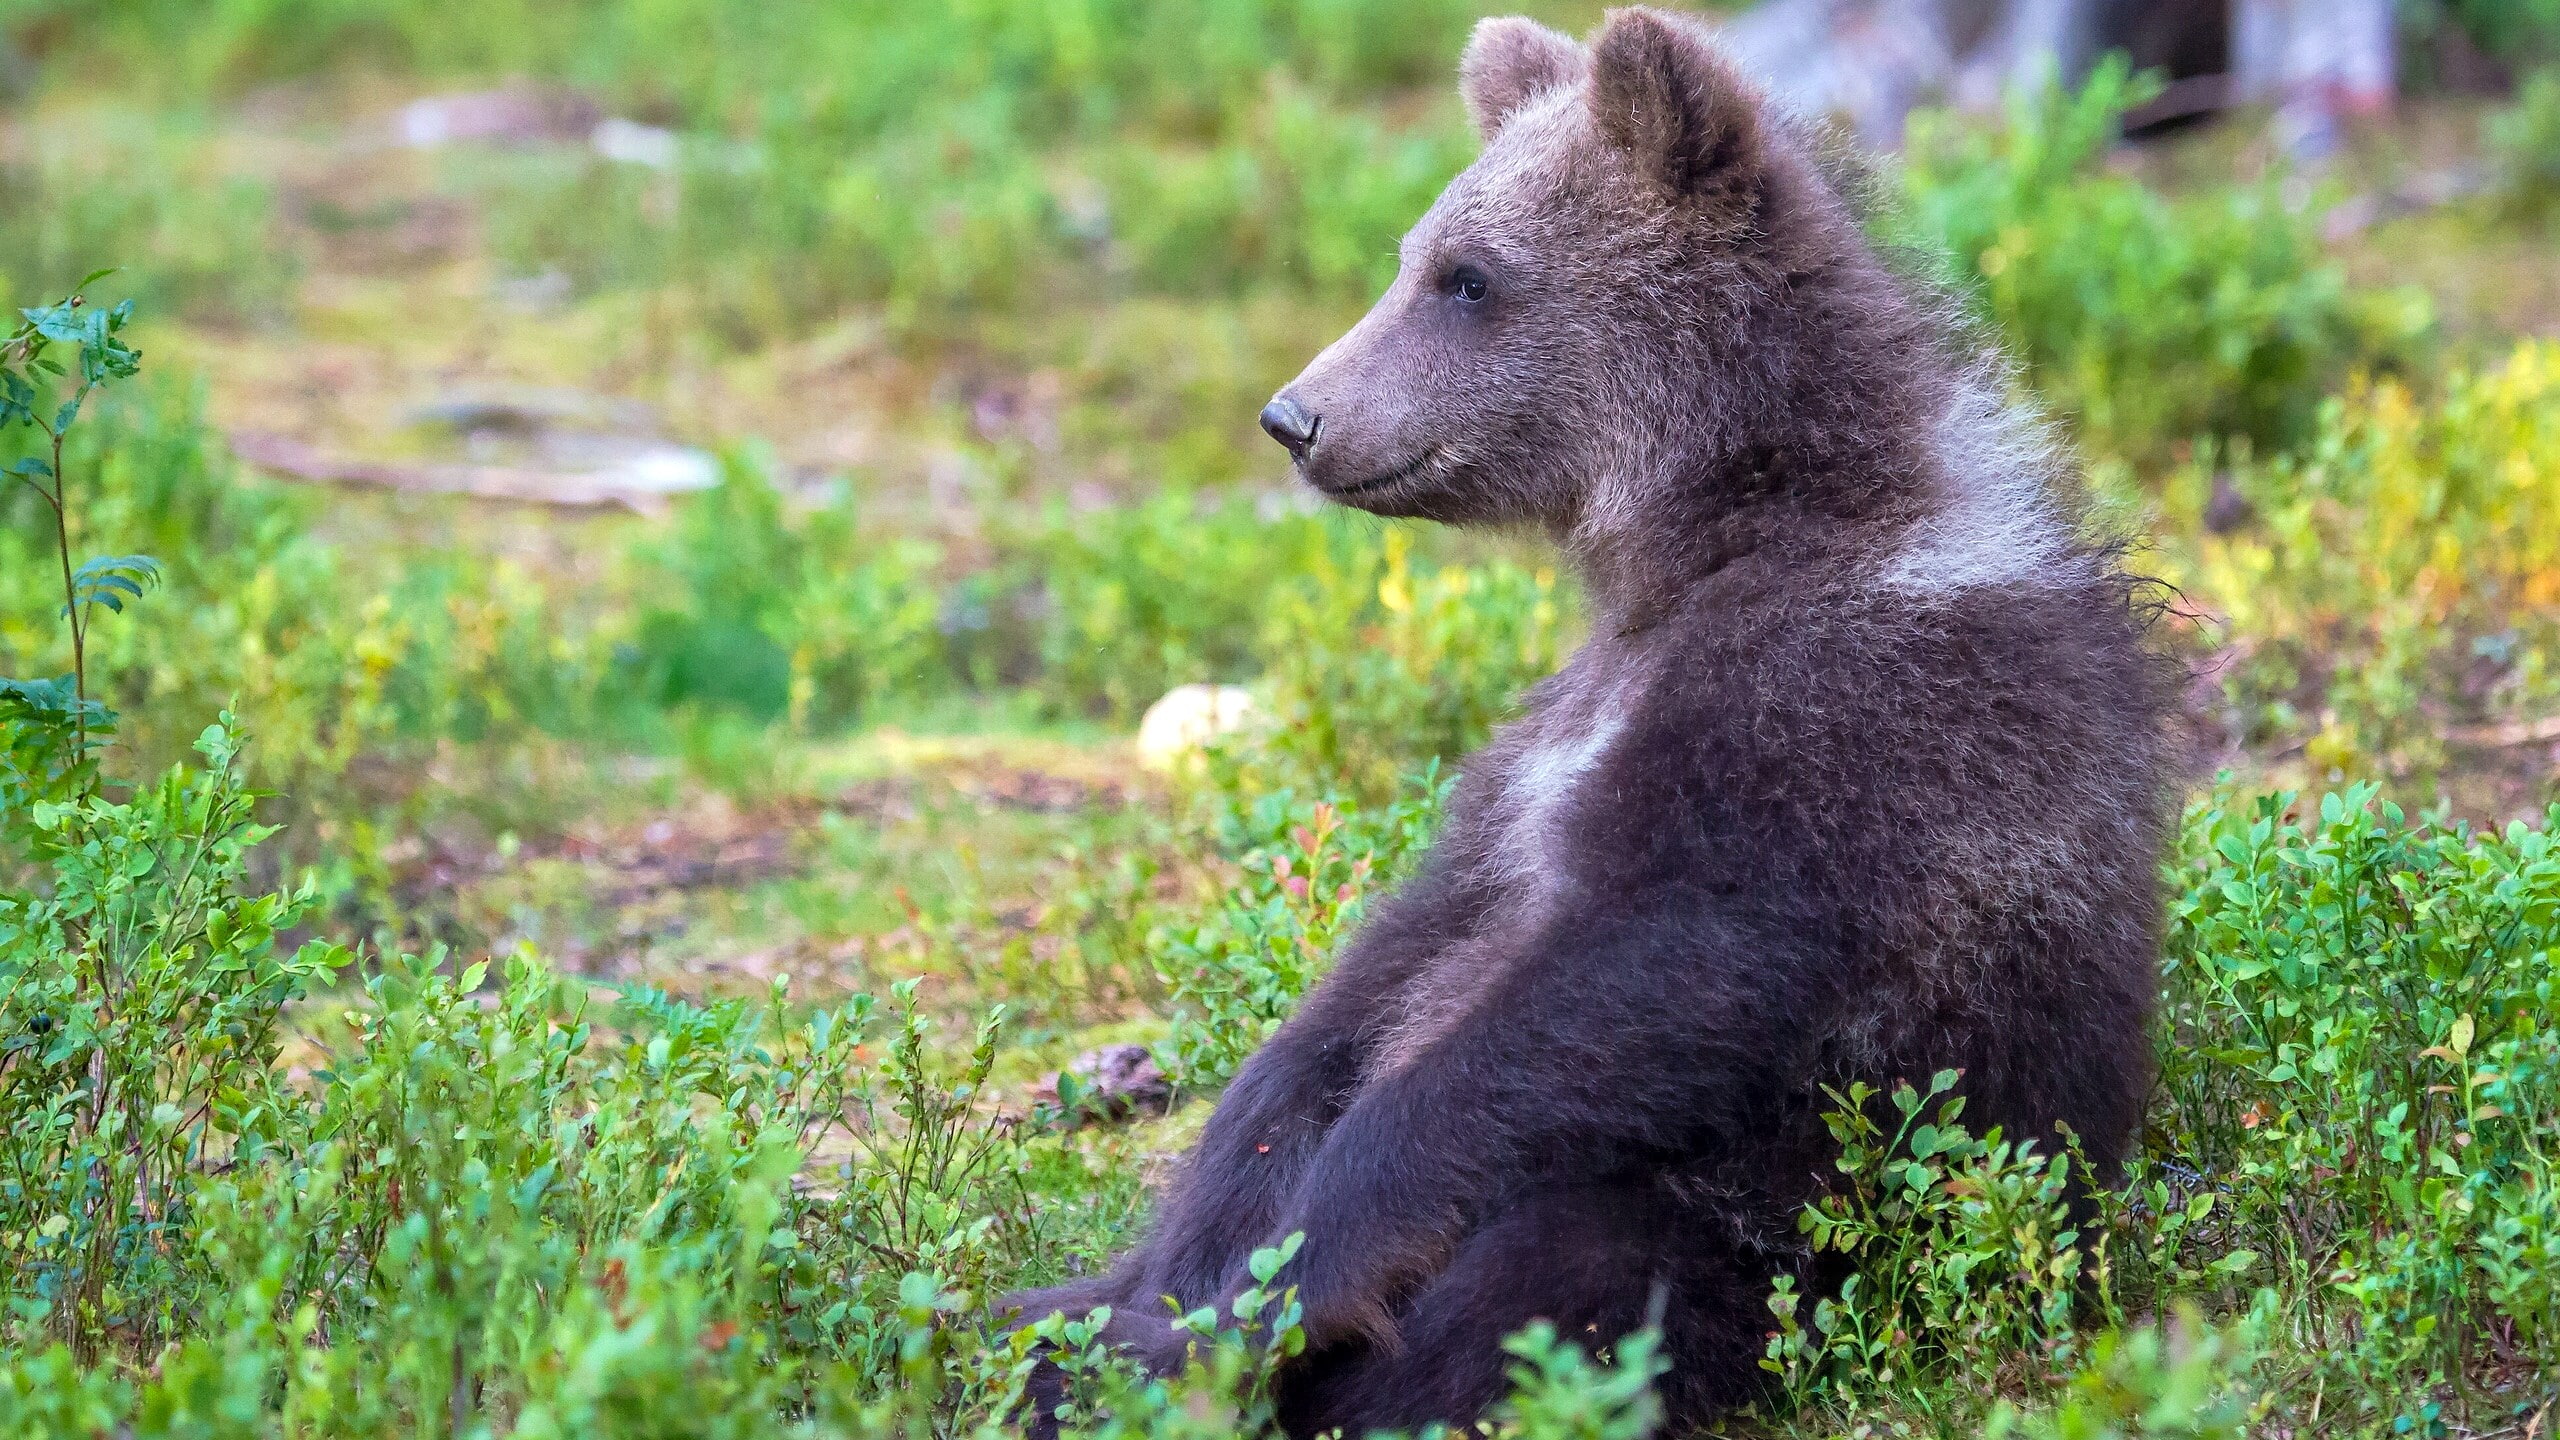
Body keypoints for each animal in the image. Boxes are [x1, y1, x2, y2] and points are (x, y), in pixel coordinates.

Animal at [1007, 8, 2174, 1433]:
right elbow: (1372, 983)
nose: (1296, 415)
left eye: (1468, 277)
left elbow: (1646, 967)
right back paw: (1035, 1323)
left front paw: (1271, 1294)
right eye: (1413, 252)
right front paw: (1190, 1270)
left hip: (1798, 1217)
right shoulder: (1542, 749)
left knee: (1557, 1283)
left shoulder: (1848, 718)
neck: (1714, 533)